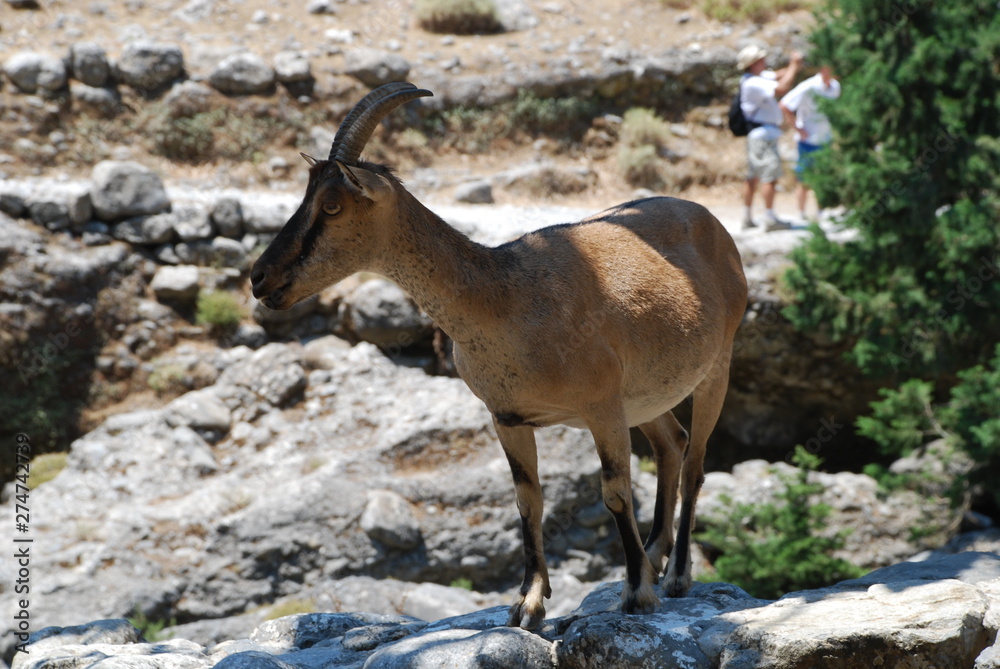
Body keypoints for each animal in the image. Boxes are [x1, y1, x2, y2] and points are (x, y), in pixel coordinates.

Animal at [252, 81, 752, 628]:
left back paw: (677, 574)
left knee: (695, 463)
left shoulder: (601, 408)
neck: (506, 299)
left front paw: (637, 593)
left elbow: (616, 492)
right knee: (671, 443)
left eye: (332, 206)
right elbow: (527, 500)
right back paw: (658, 554)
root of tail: (713, 225)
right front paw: (528, 603)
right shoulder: (508, 416)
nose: (259, 277)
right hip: (644, 399)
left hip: (716, 366)